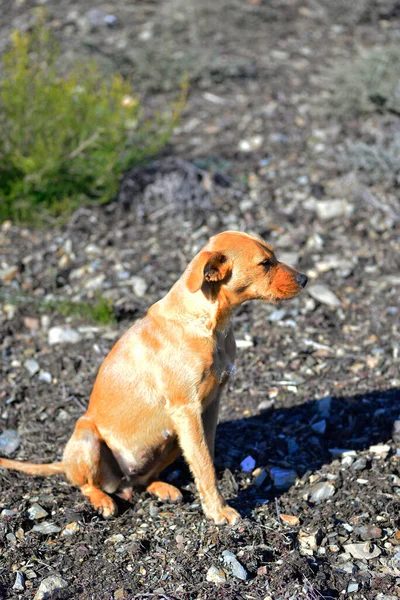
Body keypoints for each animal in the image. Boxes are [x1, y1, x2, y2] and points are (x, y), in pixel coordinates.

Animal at [0, 232, 308, 524]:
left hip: (171, 439)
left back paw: (161, 488)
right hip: (89, 436)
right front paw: (218, 510)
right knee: (87, 484)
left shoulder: (209, 408)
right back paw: (103, 500)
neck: (207, 324)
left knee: (141, 480)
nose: (305, 279)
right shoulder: (187, 411)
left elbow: (204, 458)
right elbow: (205, 466)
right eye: (264, 264)